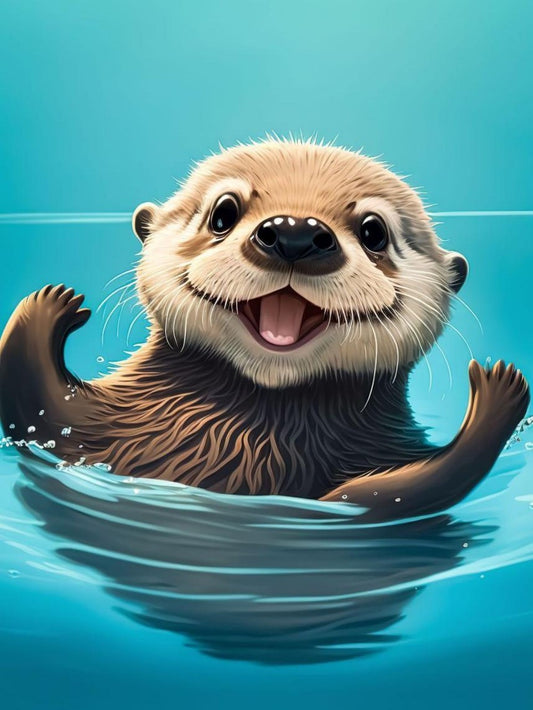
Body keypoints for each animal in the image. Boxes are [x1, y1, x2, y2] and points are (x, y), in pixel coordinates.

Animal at [0, 139, 529, 521]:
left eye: (374, 231)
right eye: (224, 212)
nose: (296, 232)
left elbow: (387, 493)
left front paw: (498, 389)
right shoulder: (92, 429)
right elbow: (38, 411)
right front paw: (57, 304)